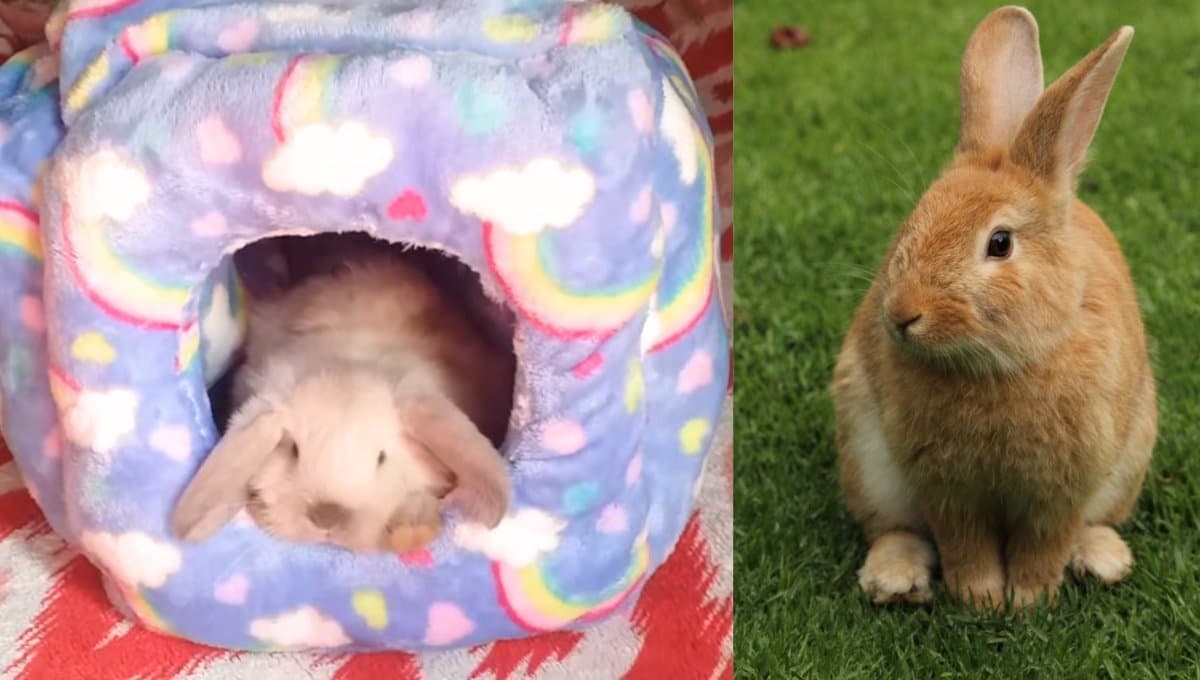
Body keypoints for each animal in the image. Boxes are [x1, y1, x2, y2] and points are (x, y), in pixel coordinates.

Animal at [830, 6, 1156, 611]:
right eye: (912, 222)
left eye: (999, 243)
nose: (903, 314)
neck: (999, 366)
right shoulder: (946, 489)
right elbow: (965, 543)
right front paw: (980, 598)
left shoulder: (1063, 490)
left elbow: (1044, 544)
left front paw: (1027, 601)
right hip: (868, 461)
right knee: (896, 529)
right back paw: (894, 581)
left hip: (1128, 464)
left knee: (1095, 523)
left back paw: (1103, 562)